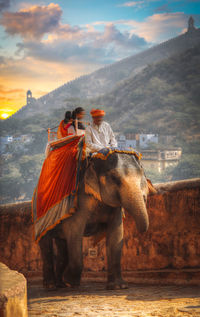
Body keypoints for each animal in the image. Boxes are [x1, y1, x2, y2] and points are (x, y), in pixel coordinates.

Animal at [38, 149, 155, 290]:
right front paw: (70, 281)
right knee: (46, 244)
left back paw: (60, 284)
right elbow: (74, 232)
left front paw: (119, 286)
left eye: (141, 175)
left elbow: (116, 236)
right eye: (114, 178)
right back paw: (51, 285)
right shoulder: (80, 200)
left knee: (62, 247)